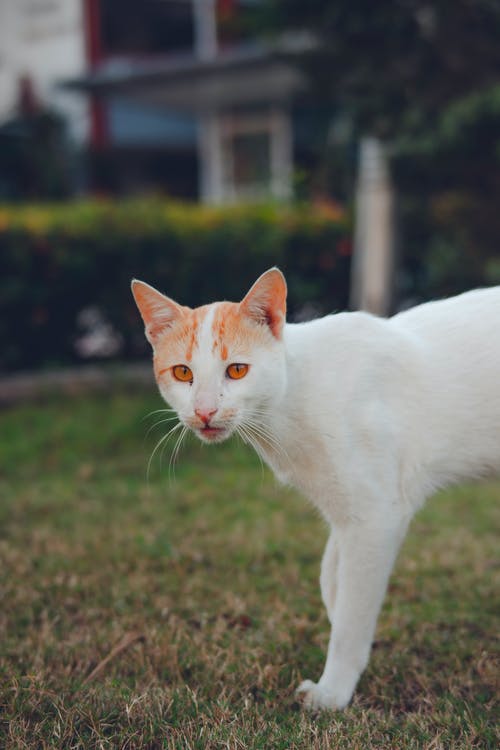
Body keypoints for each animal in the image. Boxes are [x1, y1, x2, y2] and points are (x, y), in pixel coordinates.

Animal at [130, 268, 500, 712]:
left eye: (237, 371)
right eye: (183, 373)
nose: (204, 411)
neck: (294, 398)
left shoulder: (378, 517)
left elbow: (352, 614)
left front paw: (333, 692)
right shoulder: (345, 515)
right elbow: (332, 581)